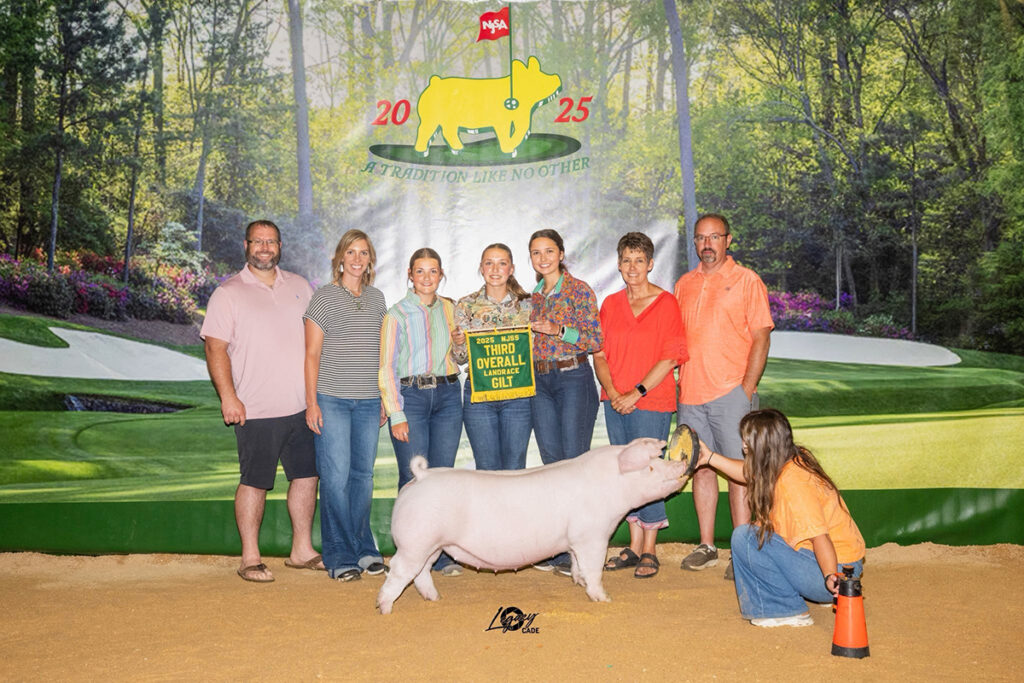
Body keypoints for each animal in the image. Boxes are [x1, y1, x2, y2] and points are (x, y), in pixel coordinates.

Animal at [376, 437, 689, 614]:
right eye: (650, 467)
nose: (683, 464)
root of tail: (421, 477)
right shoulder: (592, 535)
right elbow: (593, 567)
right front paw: (604, 599)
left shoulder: (574, 540)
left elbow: (577, 563)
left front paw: (577, 582)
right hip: (415, 542)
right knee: (400, 571)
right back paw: (385, 609)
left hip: (431, 545)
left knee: (421, 573)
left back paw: (435, 599)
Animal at [413, 55, 562, 157]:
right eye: (539, 78)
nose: (556, 76)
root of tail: (434, 81)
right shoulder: (500, 121)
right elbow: (504, 133)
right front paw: (509, 150)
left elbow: (521, 130)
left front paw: (513, 148)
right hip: (430, 117)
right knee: (424, 130)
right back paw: (422, 152)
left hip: (449, 121)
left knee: (448, 131)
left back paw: (459, 149)